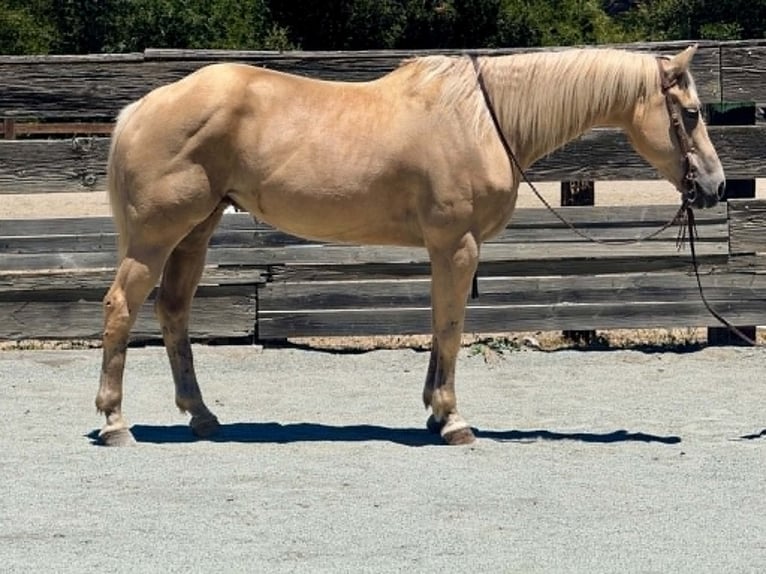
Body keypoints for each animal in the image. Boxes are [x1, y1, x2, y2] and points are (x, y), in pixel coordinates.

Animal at [95, 45, 725, 446]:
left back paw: (201, 416)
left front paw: (432, 413)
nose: (715, 186)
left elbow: (437, 324)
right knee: (121, 308)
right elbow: (450, 326)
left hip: (194, 234)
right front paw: (452, 421)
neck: (482, 120)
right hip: (156, 238)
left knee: (173, 312)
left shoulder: (443, 250)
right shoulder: (456, 246)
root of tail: (140, 109)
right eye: (692, 114)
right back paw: (115, 422)